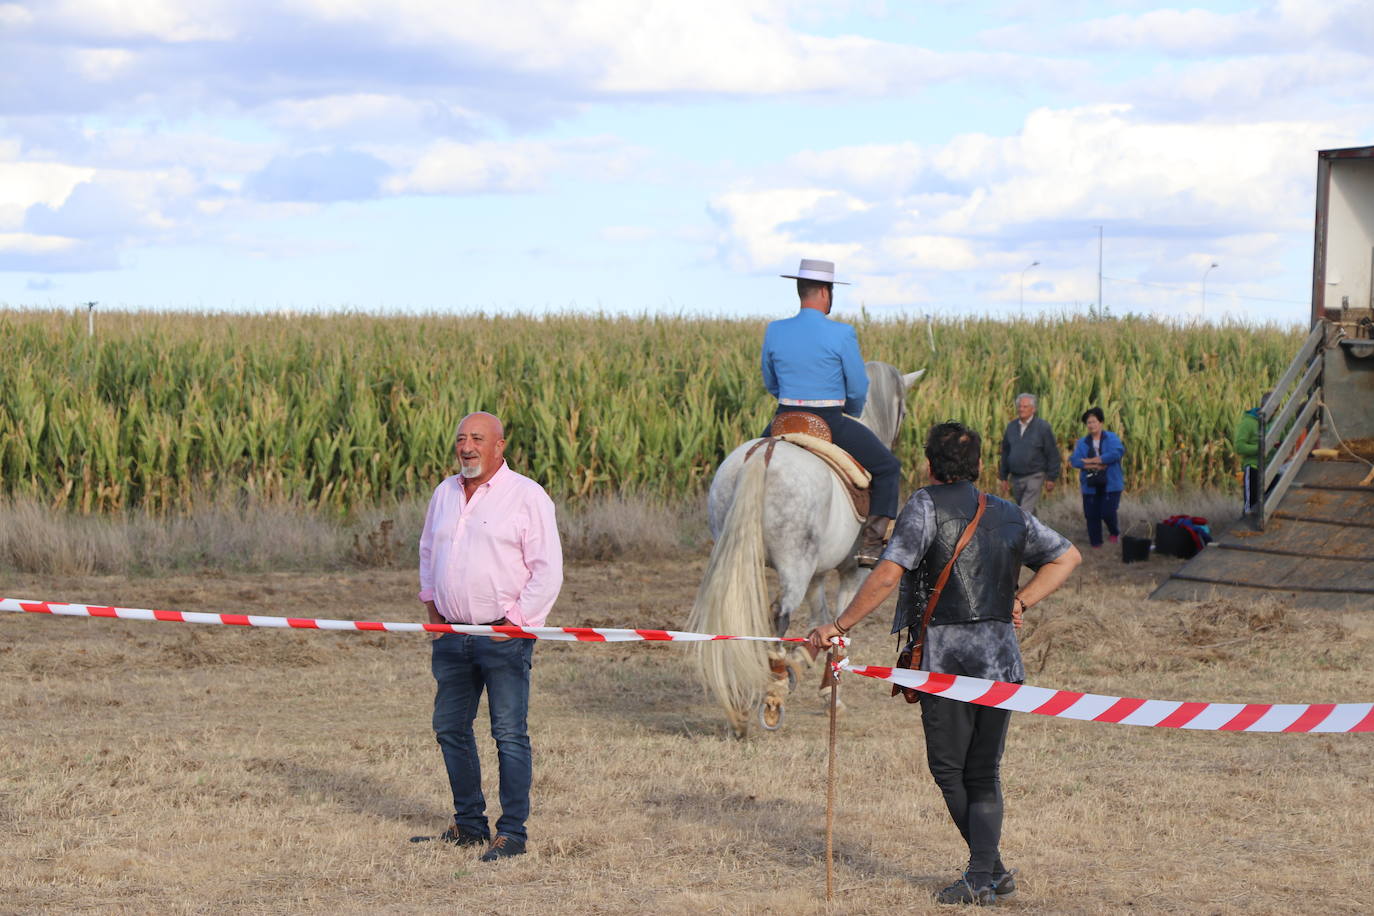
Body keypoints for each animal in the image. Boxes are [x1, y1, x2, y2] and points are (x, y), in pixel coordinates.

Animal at [687, 362, 923, 736]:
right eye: (904, 411)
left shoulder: (817, 574)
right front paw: (827, 690)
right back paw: (774, 691)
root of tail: (765, 454)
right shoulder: (851, 572)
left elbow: (822, 620)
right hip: (793, 565)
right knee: (778, 613)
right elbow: (840, 626)